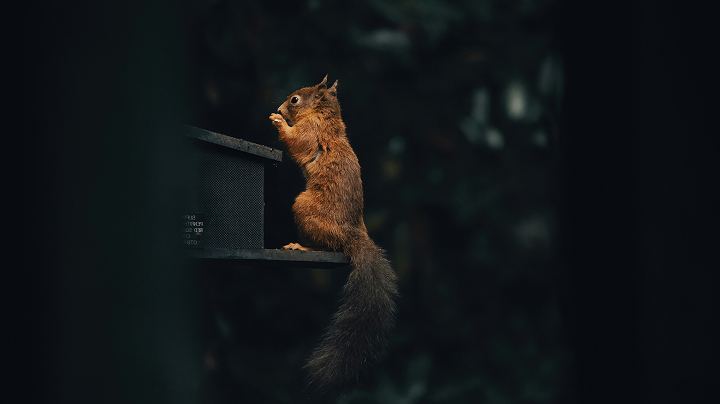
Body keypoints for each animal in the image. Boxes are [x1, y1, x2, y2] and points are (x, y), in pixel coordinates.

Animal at [268, 75, 398, 387]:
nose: (279, 107)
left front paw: (278, 121)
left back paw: (301, 247)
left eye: (295, 100)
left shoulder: (312, 131)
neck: (325, 117)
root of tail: (353, 236)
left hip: (305, 209)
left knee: (328, 247)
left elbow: (297, 141)